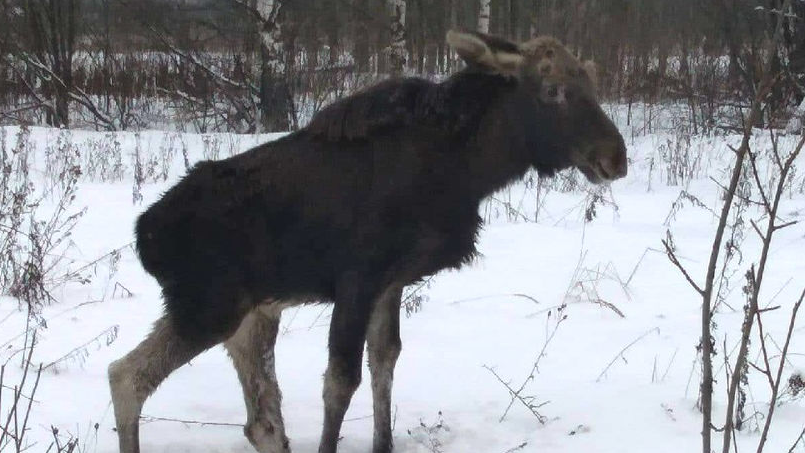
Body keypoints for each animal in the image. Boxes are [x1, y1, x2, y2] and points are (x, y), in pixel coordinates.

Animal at [108, 30, 628, 452]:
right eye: (553, 90)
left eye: (592, 82)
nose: (615, 158)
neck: (467, 173)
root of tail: (144, 235)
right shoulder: (357, 278)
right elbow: (341, 381)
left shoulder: (390, 281)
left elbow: (384, 362)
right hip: (210, 306)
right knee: (126, 376)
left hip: (252, 315)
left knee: (261, 421)